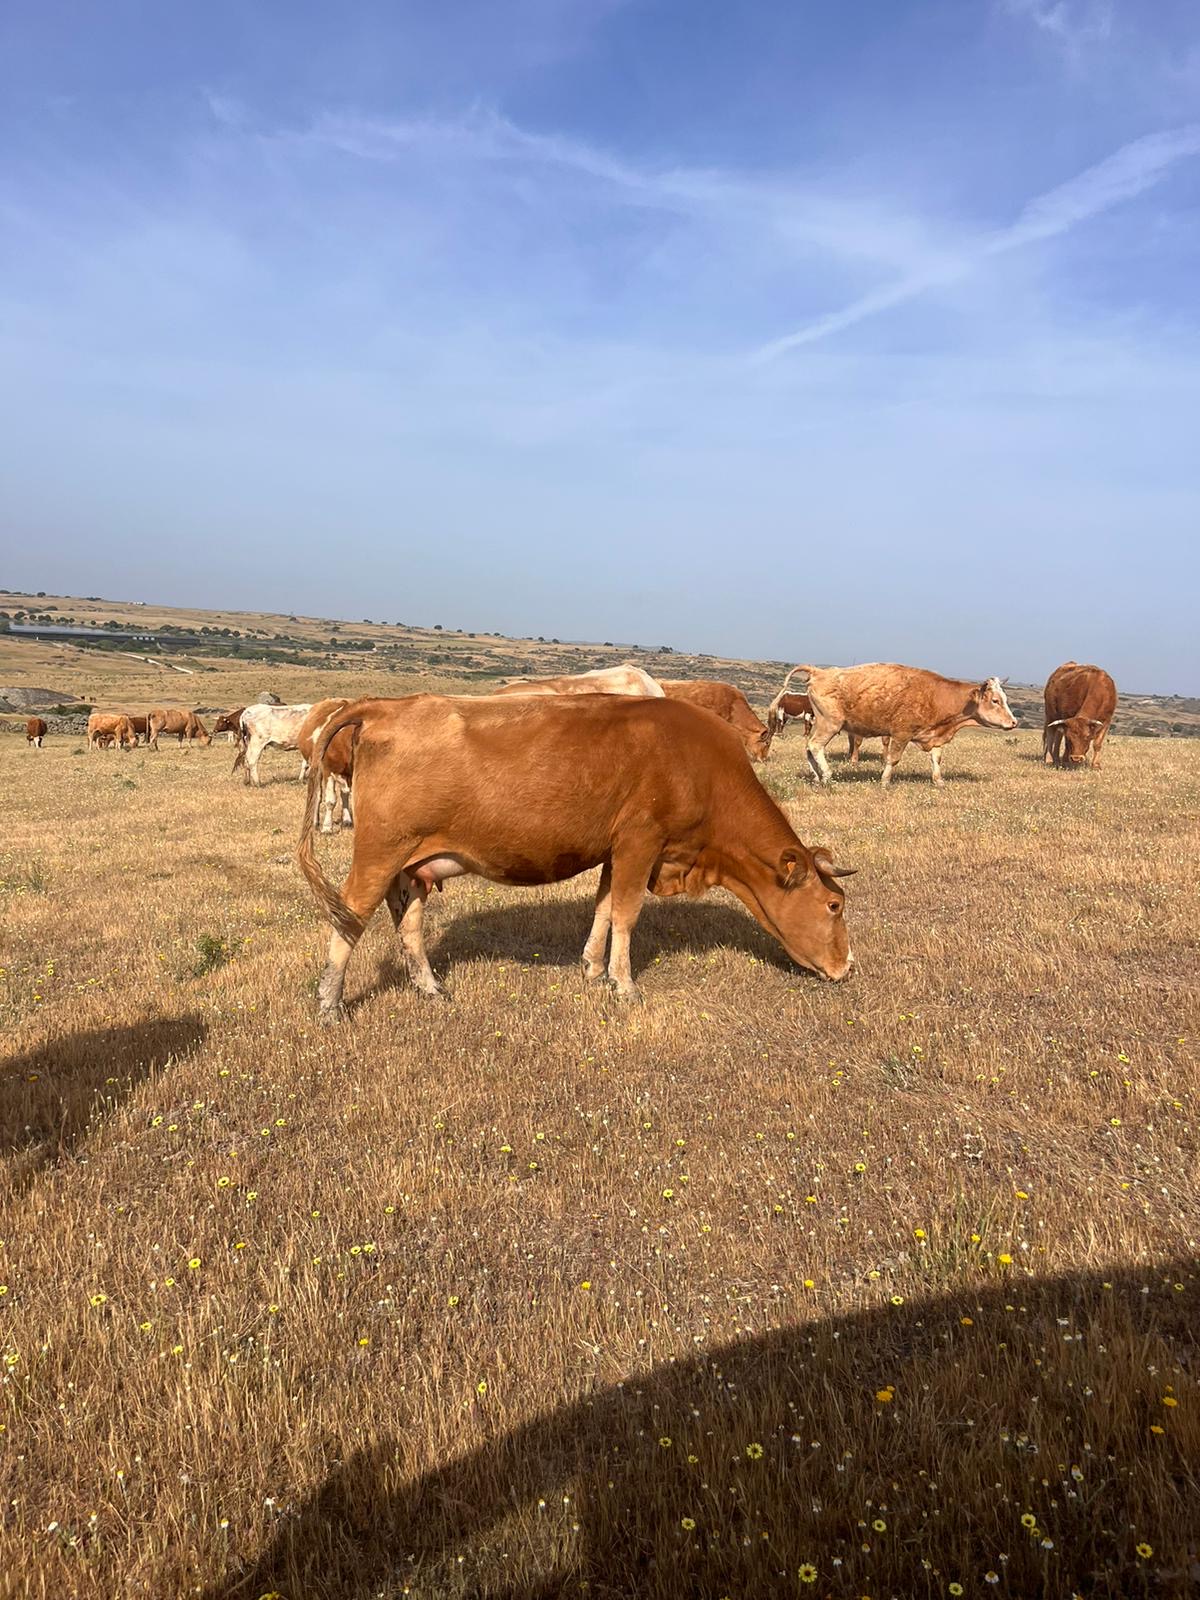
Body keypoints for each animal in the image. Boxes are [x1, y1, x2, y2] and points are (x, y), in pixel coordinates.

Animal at [297, 699, 355, 833]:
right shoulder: (329, 770)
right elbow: (330, 800)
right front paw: (327, 827)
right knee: (317, 796)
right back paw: (316, 822)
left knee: (344, 794)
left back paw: (347, 820)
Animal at [793, 663, 1016, 786]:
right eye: (995, 700)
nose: (1014, 722)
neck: (936, 696)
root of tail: (820, 672)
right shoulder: (901, 734)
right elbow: (893, 759)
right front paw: (885, 781)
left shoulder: (935, 736)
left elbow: (936, 759)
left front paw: (938, 781)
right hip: (830, 724)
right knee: (815, 746)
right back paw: (827, 775)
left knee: (808, 748)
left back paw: (817, 776)